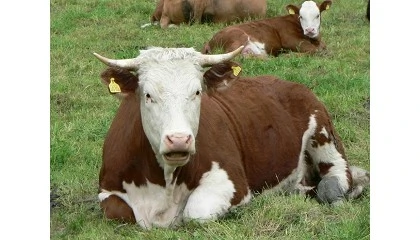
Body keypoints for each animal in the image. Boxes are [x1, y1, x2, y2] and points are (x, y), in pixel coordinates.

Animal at [93, 45, 370, 229]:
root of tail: (287, 83)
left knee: (337, 178)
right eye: (148, 95)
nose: (179, 139)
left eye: (197, 92)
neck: (165, 181)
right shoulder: (108, 188)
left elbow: (196, 212)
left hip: (324, 135)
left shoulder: (232, 181)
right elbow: (118, 211)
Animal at [203, 0, 332, 57]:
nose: (310, 30)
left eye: (317, 15)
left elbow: (324, 47)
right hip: (237, 37)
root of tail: (210, 41)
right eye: (301, 16)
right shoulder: (290, 39)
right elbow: (316, 50)